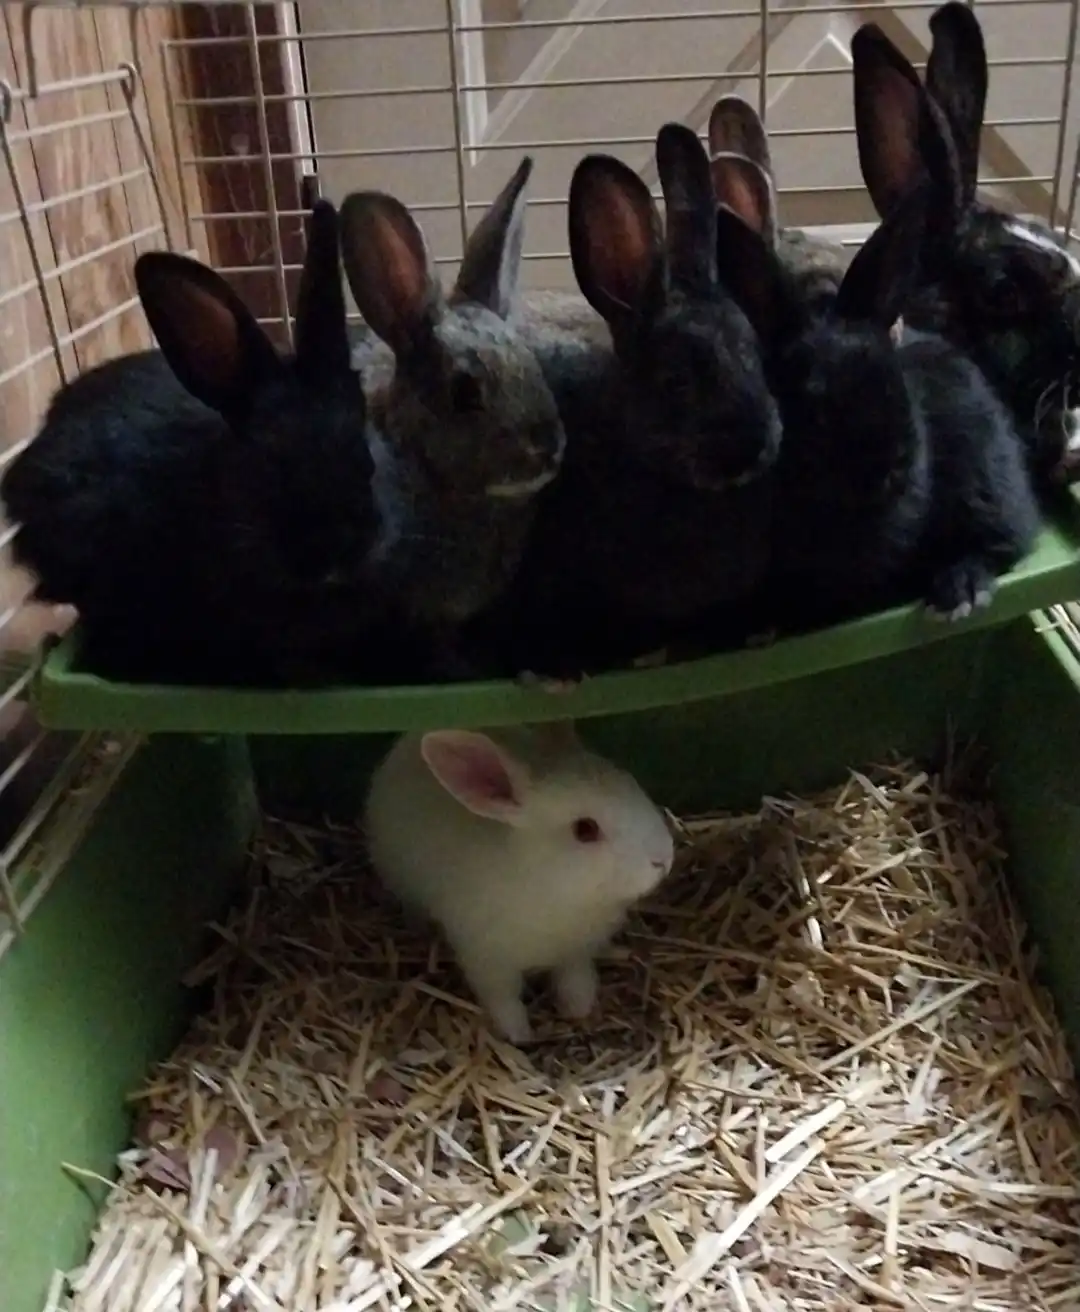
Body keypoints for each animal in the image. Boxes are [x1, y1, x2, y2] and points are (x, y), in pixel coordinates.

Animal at [364, 719, 675, 1044]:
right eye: (585, 829)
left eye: (632, 782)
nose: (664, 859)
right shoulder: (488, 962)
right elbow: (504, 1000)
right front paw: (519, 1035)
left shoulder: (575, 953)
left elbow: (575, 980)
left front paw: (579, 1009)